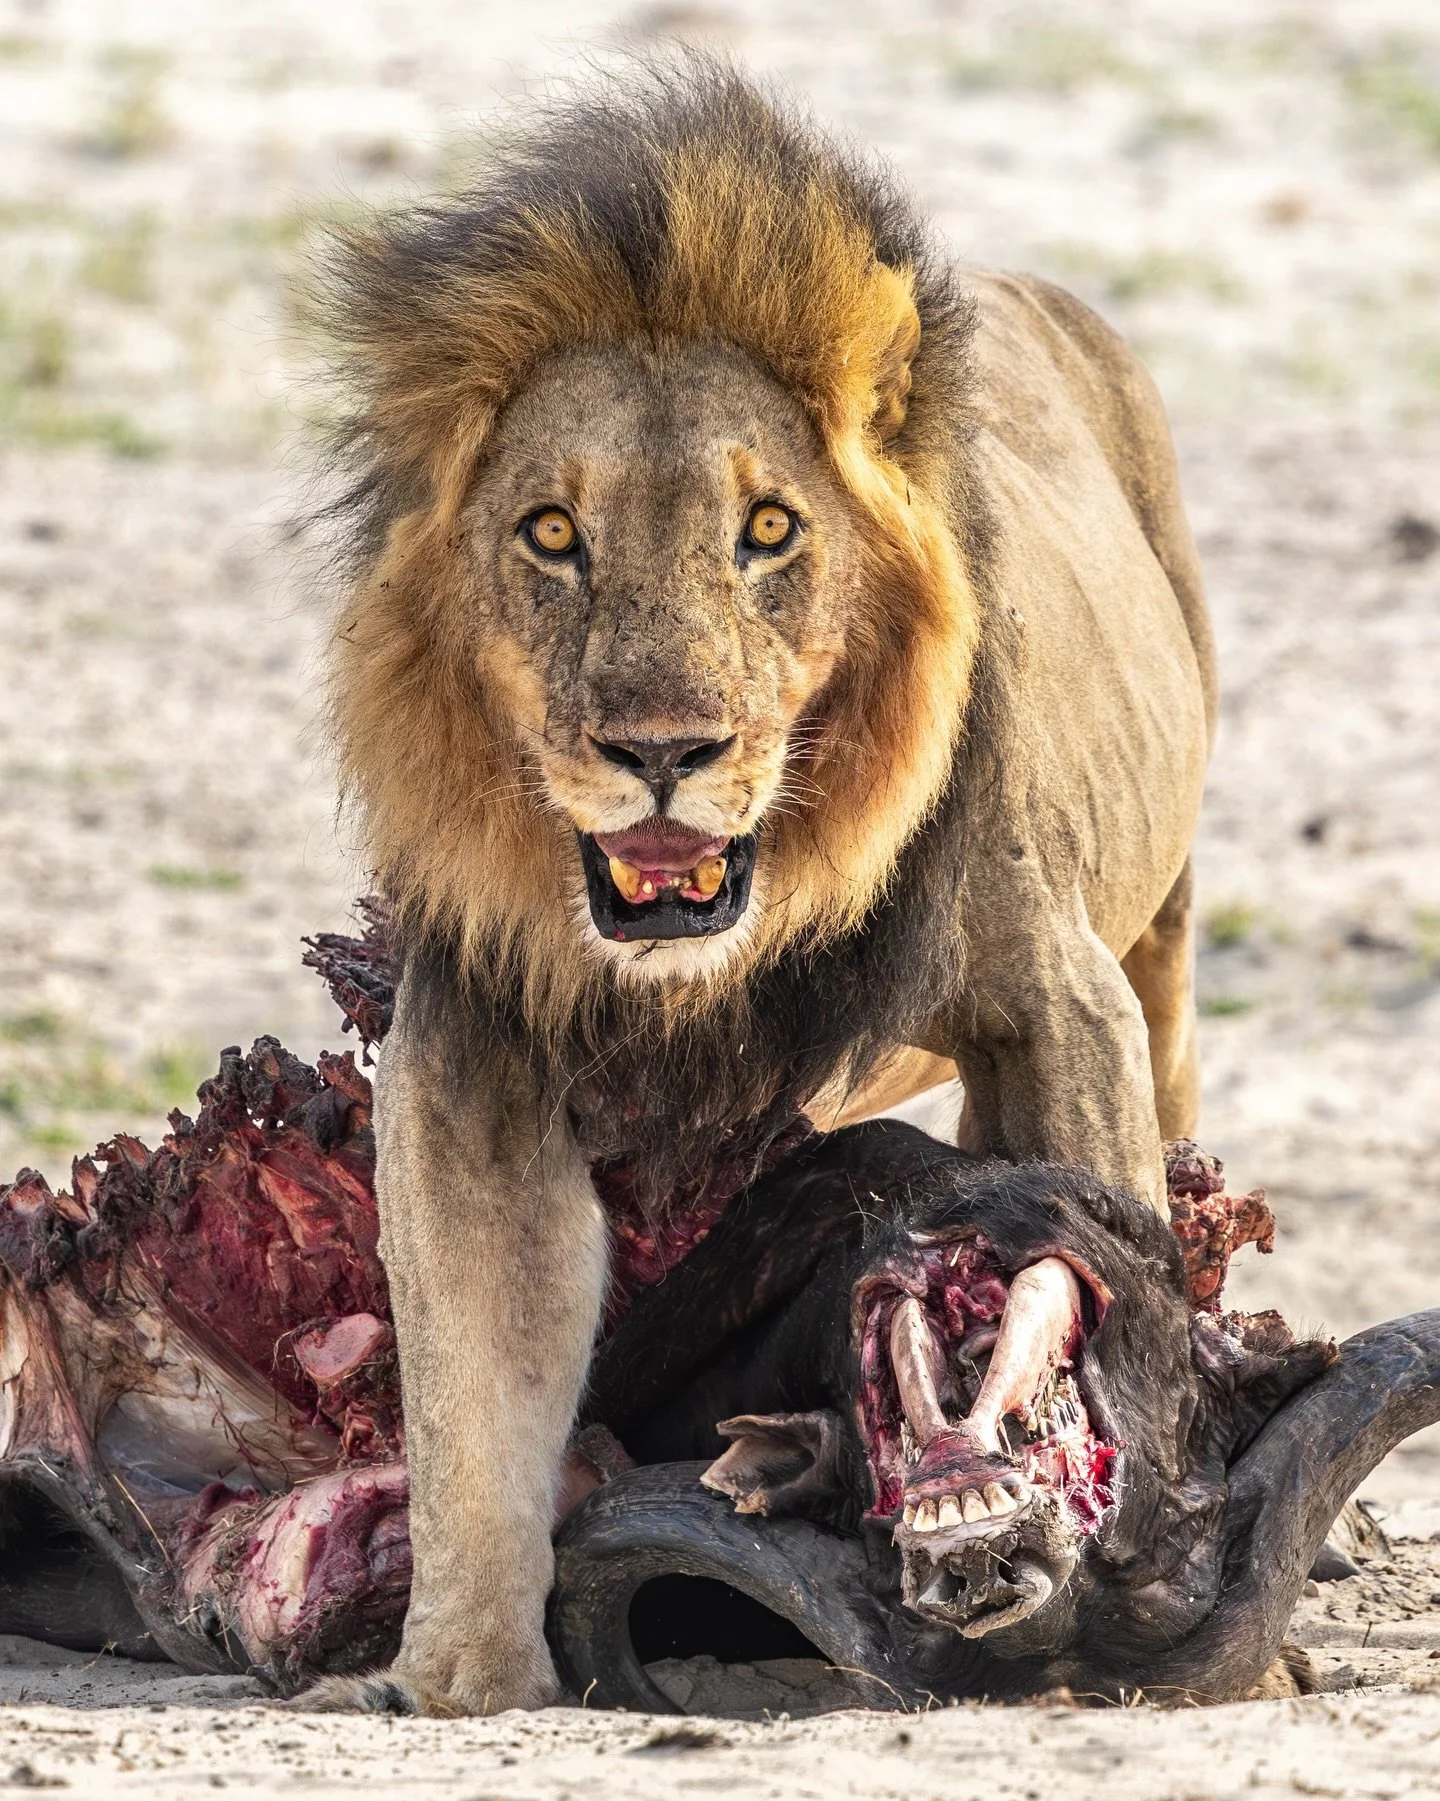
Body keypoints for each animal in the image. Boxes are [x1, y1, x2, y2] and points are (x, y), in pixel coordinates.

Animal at [310, 64, 1214, 1715]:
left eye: (770, 530)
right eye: (553, 533)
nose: (664, 749)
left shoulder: (1058, 1006)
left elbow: (1097, 1259)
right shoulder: (472, 1045)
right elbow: (474, 1390)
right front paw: (460, 1678)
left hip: (1163, 934)